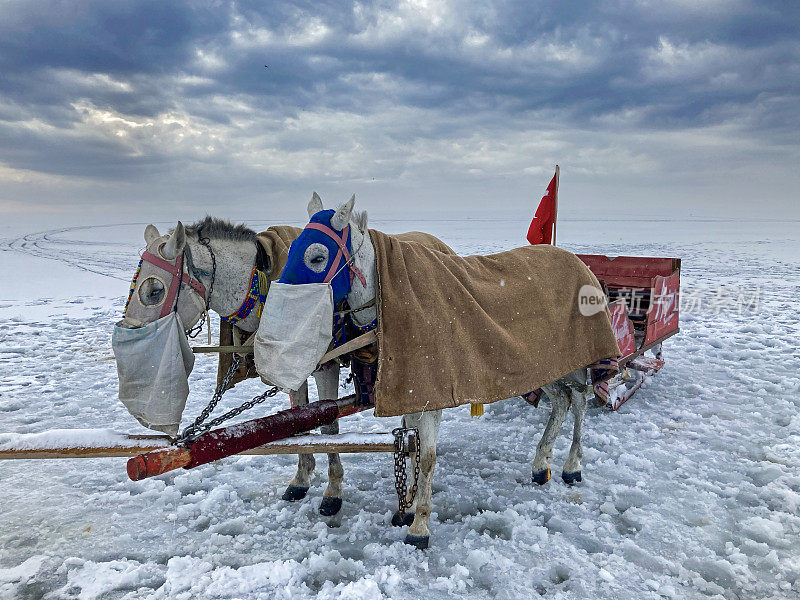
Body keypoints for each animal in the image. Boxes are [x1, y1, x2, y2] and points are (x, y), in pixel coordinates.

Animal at [282, 196, 592, 548]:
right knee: (562, 402)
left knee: (580, 401)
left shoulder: (431, 391)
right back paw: (542, 465)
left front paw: (419, 525)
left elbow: (427, 455)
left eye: (317, 257)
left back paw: (572, 465)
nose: (285, 315)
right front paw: (406, 507)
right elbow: (409, 446)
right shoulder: (412, 387)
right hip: (541, 367)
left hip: (573, 361)